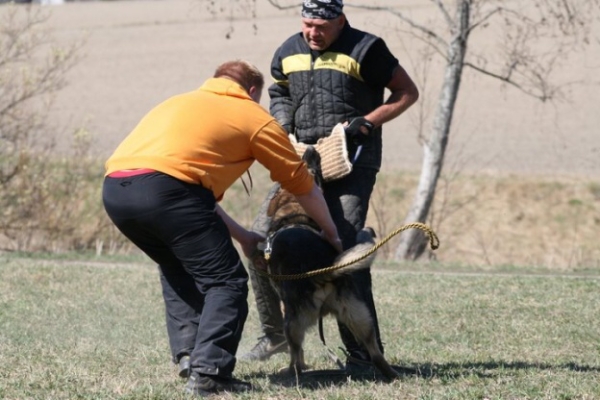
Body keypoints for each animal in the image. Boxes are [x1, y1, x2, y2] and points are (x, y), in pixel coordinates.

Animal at [262, 146, 398, 382]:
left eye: (312, 172)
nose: (310, 148)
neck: (294, 215)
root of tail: (321, 271)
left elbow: (299, 352)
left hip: (292, 323)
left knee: (295, 354)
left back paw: (290, 372)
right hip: (360, 317)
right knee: (375, 354)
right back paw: (391, 374)